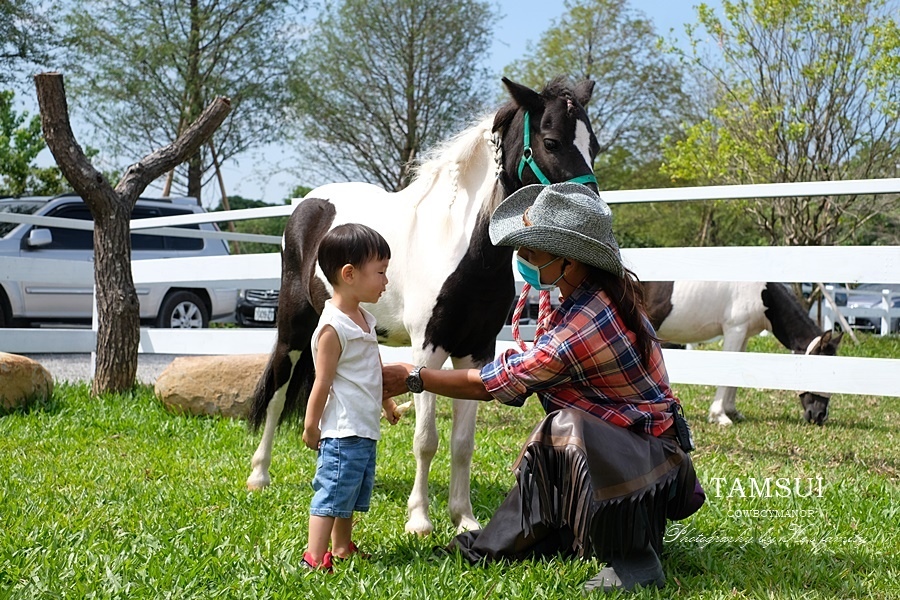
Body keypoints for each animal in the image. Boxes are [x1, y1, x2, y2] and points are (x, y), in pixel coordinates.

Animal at [244, 78, 604, 536]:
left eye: (595, 146)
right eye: (552, 141)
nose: (593, 214)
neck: (459, 246)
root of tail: (311, 203)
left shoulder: (477, 351)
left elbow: (462, 443)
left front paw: (463, 518)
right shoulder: (426, 349)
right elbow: (425, 440)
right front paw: (419, 519)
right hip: (293, 328)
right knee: (276, 393)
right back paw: (259, 475)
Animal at [644, 282, 840, 426]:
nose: (819, 415)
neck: (763, 293)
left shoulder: (744, 334)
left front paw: (731, 411)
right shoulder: (735, 329)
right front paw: (719, 416)